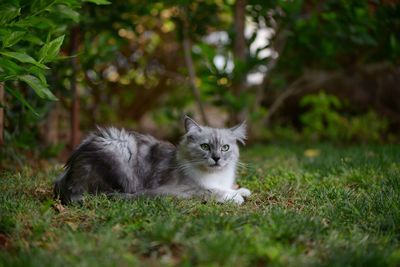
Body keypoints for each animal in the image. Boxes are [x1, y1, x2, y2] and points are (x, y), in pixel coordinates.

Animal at [54, 116, 252, 206]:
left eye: (225, 148)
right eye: (205, 146)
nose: (216, 158)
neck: (215, 176)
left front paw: (240, 190)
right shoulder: (180, 189)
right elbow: (210, 191)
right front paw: (234, 196)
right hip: (119, 145)